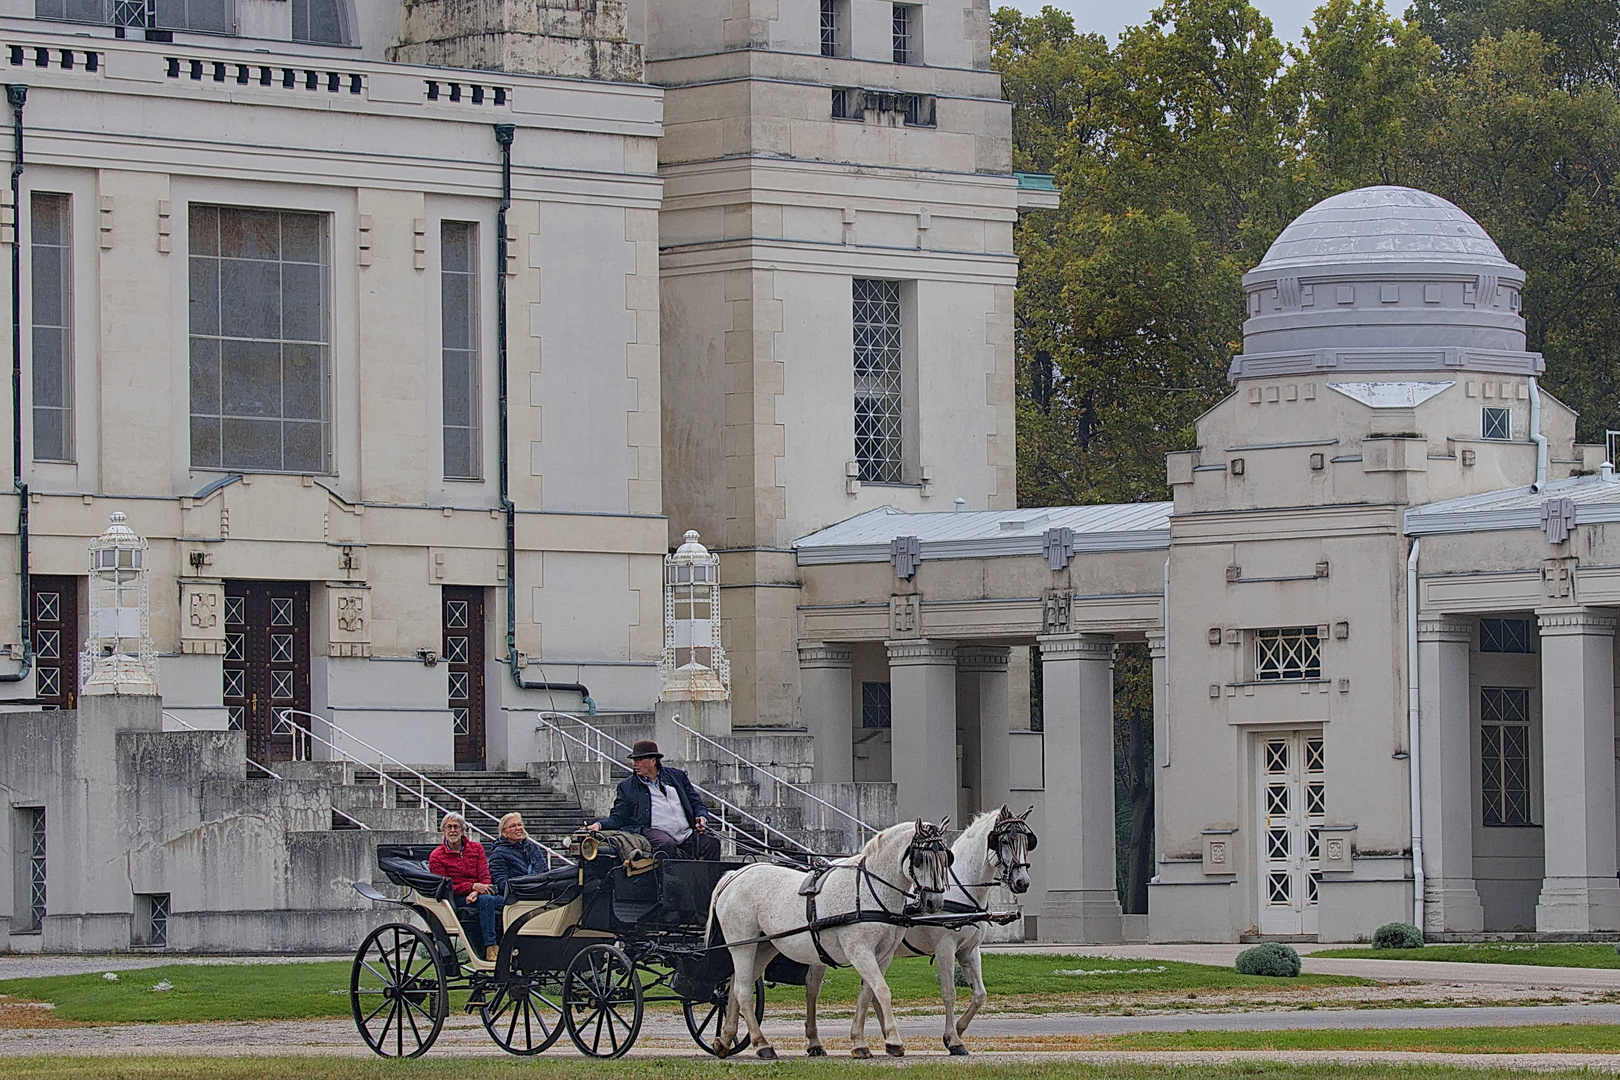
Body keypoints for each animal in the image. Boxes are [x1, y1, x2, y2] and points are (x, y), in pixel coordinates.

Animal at [706, 819, 946, 1055]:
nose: (934, 902)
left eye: (945, 858)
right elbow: (882, 991)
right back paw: (762, 1044)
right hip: (742, 945)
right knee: (743, 990)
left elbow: (867, 994)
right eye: (920, 859)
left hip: (764, 946)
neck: (869, 889)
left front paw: (859, 1042)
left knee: (735, 986)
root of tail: (735, 876)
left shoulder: (883, 956)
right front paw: (894, 1041)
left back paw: (725, 1040)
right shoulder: (860, 952)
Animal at [848, 809, 1036, 1055]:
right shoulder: (945, 948)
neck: (961, 890)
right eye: (1004, 840)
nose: (1022, 882)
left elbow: (980, 995)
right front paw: (953, 1040)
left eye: (1027, 841)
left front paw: (958, 1029)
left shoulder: (969, 950)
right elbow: (949, 993)